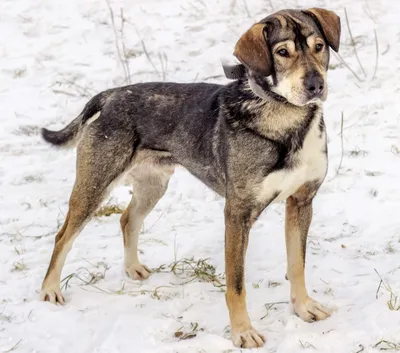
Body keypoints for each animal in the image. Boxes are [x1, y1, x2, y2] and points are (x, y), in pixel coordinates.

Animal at [39, 7, 340, 346]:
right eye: (282, 52)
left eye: (319, 46)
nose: (316, 85)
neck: (288, 121)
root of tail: (112, 95)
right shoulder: (237, 214)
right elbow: (236, 284)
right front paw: (242, 332)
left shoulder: (301, 202)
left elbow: (297, 264)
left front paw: (303, 308)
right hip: (94, 186)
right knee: (63, 236)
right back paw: (50, 289)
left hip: (153, 186)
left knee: (128, 219)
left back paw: (133, 268)